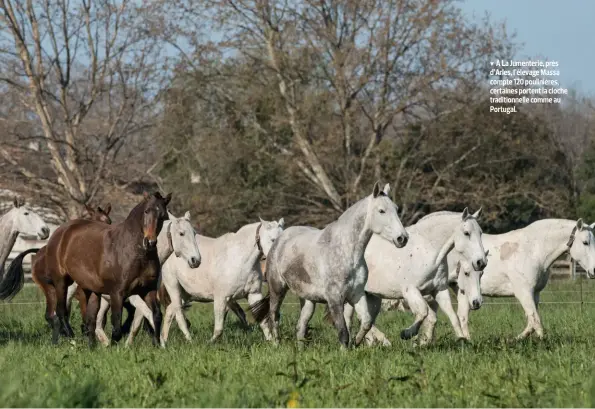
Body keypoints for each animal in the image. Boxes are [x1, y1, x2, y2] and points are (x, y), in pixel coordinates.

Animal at [65, 212, 200, 346]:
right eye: (181, 233)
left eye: (194, 233)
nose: (196, 260)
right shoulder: (134, 298)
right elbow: (148, 316)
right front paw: (161, 343)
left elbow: (137, 322)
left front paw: (128, 345)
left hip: (103, 298)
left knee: (97, 323)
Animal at [158, 215, 284, 346]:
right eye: (273, 240)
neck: (239, 258)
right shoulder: (221, 298)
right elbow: (219, 328)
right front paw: (209, 343)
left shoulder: (253, 294)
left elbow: (263, 321)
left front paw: (273, 344)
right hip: (174, 288)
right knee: (178, 314)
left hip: (186, 295)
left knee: (169, 311)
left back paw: (163, 342)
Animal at [251, 182, 410, 348]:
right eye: (381, 211)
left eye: (396, 209)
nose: (402, 238)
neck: (346, 251)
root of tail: (279, 240)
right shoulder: (335, 299)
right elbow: (343, 331)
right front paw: (345, 350)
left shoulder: (356, 294)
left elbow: (366, 322)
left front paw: (356, 342)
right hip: (277, 289)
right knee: (274, 316)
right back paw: (276, 344)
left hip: (308, 300)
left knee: (301, 326)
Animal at [340, 209, 488, 346]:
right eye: (467, 233)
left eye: (480, 233)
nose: (481, 262)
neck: (427, 251)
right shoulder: (410, 291)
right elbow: (423, 312)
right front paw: (407, 334)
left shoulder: (439, 290)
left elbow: (452, 316)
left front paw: (462, 340)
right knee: (353, 317)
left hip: (371, 296)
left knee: (364, 319)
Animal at [448, 218, 595, 340]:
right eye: (585, 242)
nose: (594, 271)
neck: (534, 251)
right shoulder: (524, 293)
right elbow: (536, 321)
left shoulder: (535, 294)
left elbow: (531, 323)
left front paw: (516, 339)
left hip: (463, 292)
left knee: (462, 316)